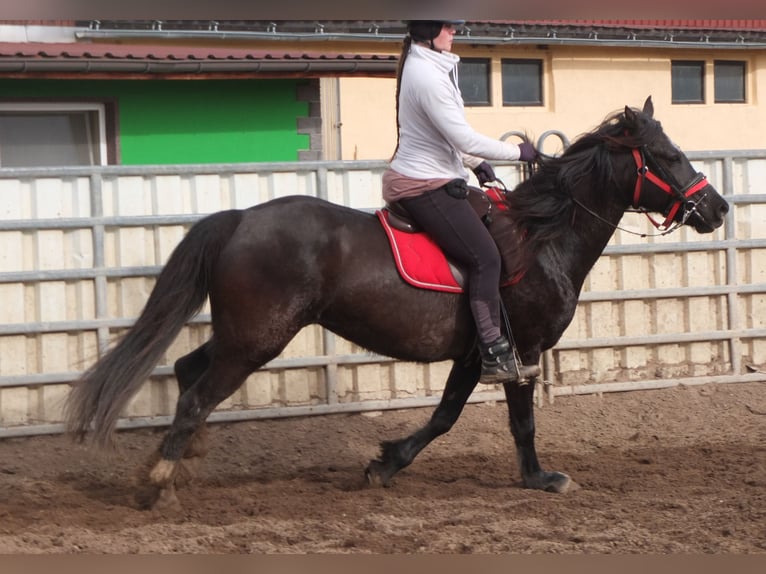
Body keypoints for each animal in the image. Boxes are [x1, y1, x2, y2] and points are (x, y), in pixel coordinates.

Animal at [66, 97, 732, 510]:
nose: (718, 208)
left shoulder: (476, 354)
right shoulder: (520, 349)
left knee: (186, 371)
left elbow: (444, 416)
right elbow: (520, 421)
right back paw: (159, 484)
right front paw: (541, 479)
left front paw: (385, 463)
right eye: (668, 157)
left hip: (242, 333)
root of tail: (240, 218)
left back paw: (182, 462)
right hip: (257, 338)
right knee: (197, 394)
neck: (542, 238)